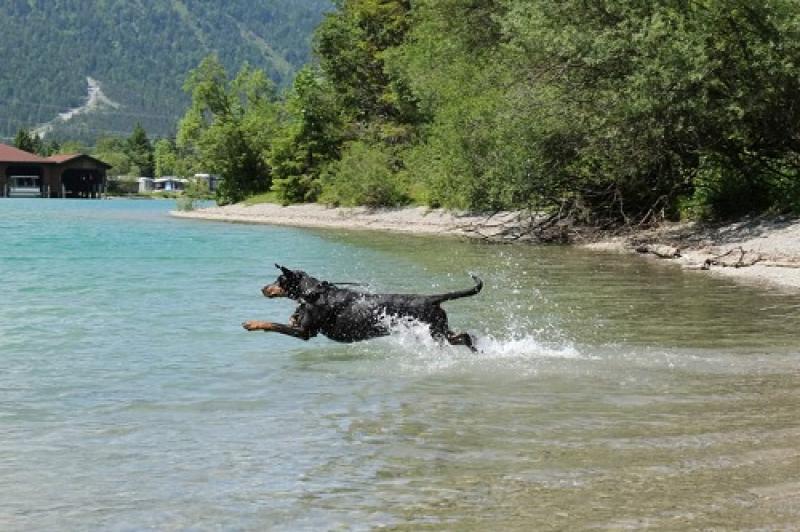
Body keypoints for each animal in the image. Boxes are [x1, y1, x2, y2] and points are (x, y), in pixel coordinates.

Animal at [242, 264, 482, 350]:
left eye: (278, 280)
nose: (263, 288)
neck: (312, 293)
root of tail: (432, 299)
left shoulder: (304, 333)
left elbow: (272, 324)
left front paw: (252, 323)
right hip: (439, 329)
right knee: (465, 336)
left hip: (434, 333)